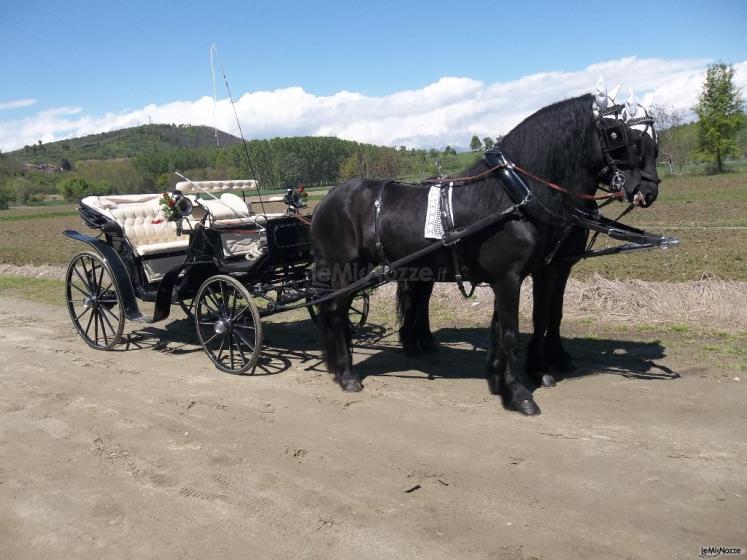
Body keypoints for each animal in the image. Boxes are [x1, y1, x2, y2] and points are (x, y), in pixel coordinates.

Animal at [310, 94, 660, 414]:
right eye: (619, 137)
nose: (648, 191)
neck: (514, 194)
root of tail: (327, 199)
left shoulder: (537, 271)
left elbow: (530, 321)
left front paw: (509, 377)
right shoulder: (510, 278)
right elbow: (510, 333)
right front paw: (518, 394)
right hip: (347, 270)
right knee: (334, 311)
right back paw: (346, 373)